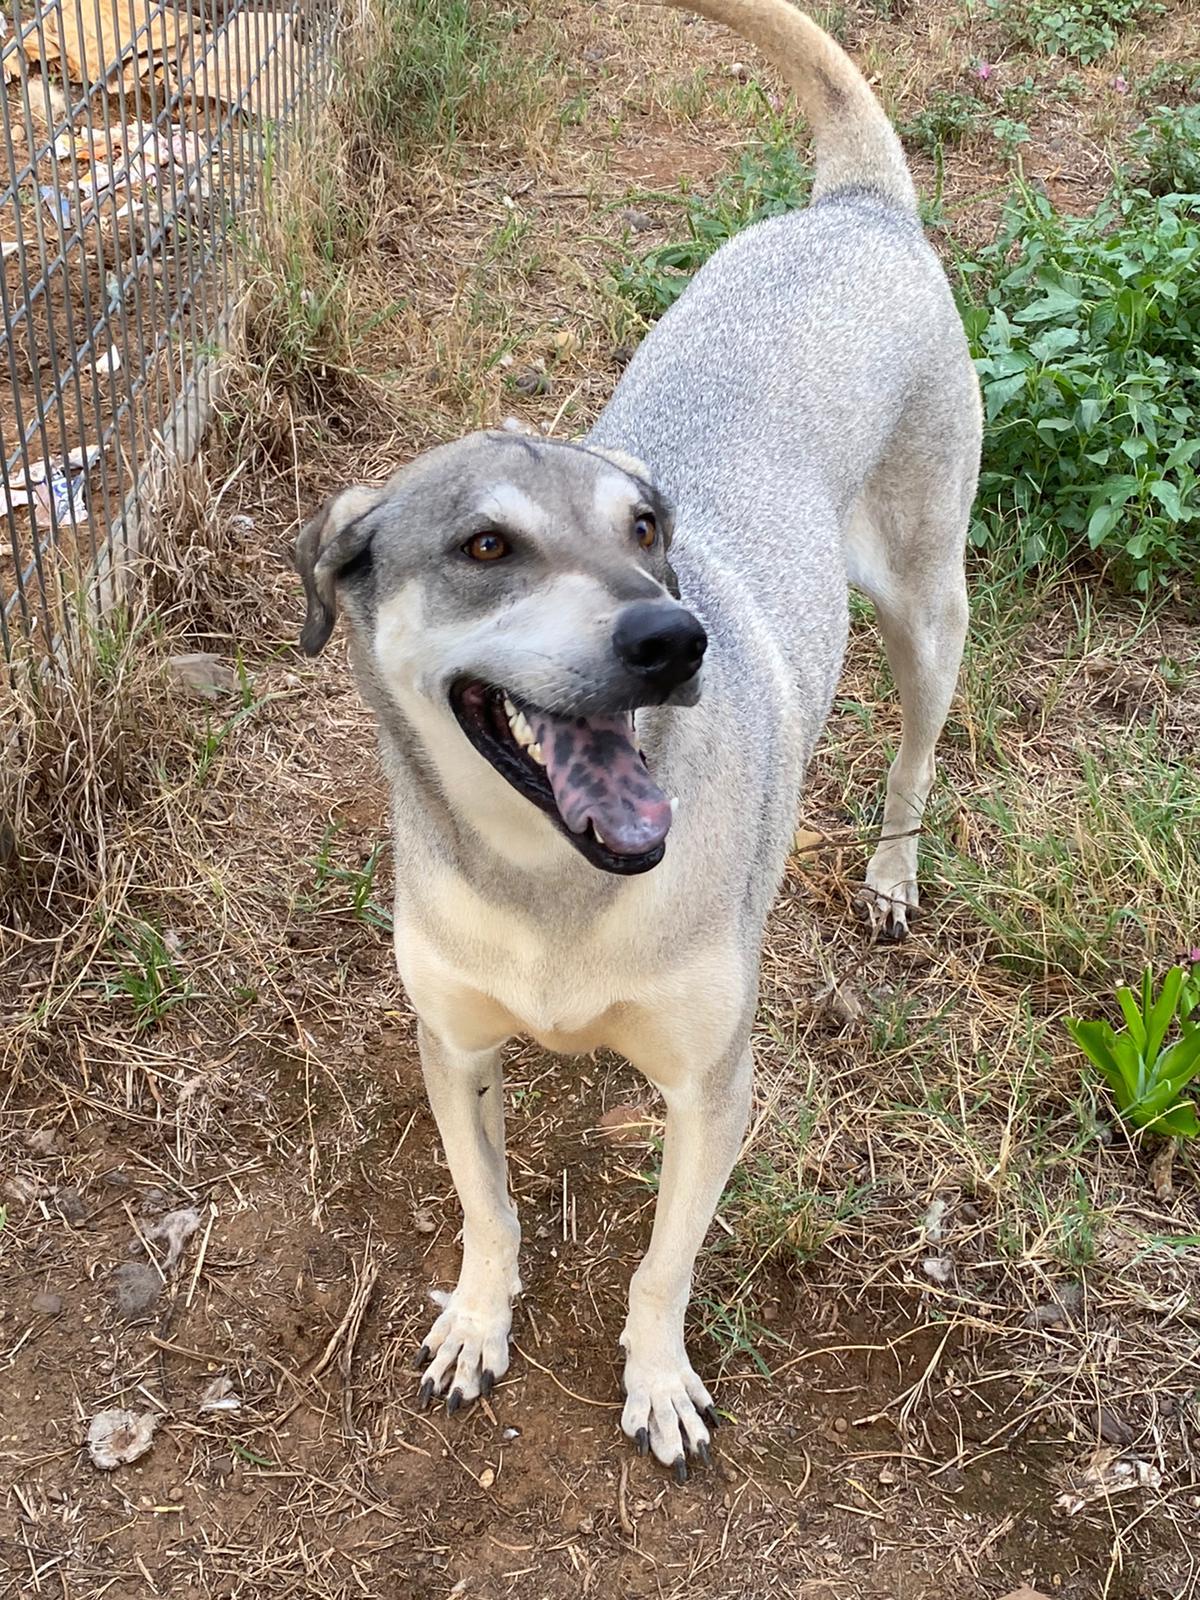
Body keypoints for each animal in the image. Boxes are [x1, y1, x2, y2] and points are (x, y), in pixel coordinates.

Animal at [296, 0, 979, 1472]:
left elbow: (664, 1260)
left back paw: (894, 872)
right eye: (485, 546)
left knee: (916, 747)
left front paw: (658, 1378)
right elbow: (486, 1206)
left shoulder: (711, 1083)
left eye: (648, 528)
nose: (676, 636)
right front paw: (476, 1319)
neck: (551, 883)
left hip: (928, 600)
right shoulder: (455, 1045)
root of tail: (855, 209)